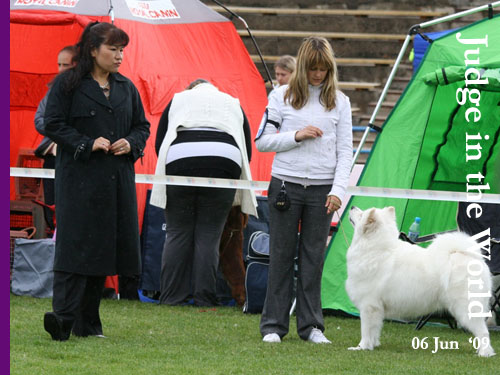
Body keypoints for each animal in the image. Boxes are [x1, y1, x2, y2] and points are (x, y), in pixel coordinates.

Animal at [346, 209, 494, 358]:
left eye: (361, 214)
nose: (352, 207)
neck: (375, 249)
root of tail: (474, 258)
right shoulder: (377, 309)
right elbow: (375, 330)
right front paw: (373, 345)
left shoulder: (369, 306)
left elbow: (366, 331)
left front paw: (361, 347)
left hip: (466, 308)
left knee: (483, 332)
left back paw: (484, 353)